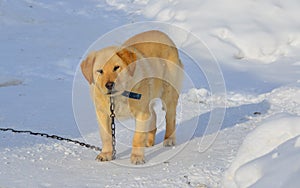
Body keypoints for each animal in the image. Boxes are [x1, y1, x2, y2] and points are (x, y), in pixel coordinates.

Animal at [80, 30, 183, 164]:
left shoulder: (141, 113)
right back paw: (149, 141)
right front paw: (106, 154)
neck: (118, 96)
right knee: (153, 115)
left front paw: (137, 157)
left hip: (168, 93)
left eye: (116, 67)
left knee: (170, 118)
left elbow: (137, 137)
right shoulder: (103, 114)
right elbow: (106, 136)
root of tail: (163, 34)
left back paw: (169, 140)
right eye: (100, 71)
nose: (109, 85)